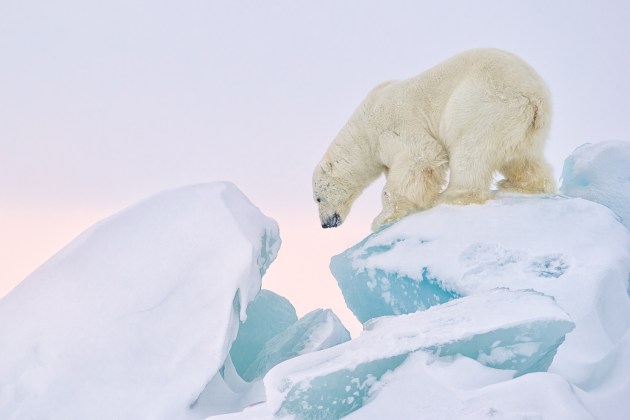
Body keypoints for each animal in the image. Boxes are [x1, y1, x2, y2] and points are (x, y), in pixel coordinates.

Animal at [314, 48, 556, 230]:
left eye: (317, 198)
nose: (325, 224)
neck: (364, 130)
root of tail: (533, 95)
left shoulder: (394, 127)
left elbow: (421, 156)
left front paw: (382, 218)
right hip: (525, 125)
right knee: (523, 158)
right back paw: (521, 184)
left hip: (484, 105)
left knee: (469, 152)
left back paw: (450, 196)